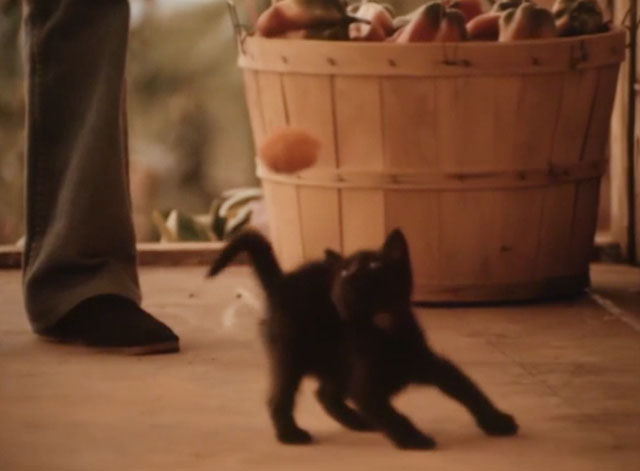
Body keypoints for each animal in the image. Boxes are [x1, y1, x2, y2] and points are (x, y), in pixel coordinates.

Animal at [208, 230, 516, 448]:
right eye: (345, 270)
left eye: (374, 264)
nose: (352, 274)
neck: (382, 328)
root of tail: (280, 282)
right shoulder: (365, 384)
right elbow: (391, 413)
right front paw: (414, 439)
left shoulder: (429, 363)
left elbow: (468, 390)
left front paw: (497, 421)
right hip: (291, 354)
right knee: (281, 396)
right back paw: (290, 434)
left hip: (333, 360)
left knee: (325, 394)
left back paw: (357, 421)